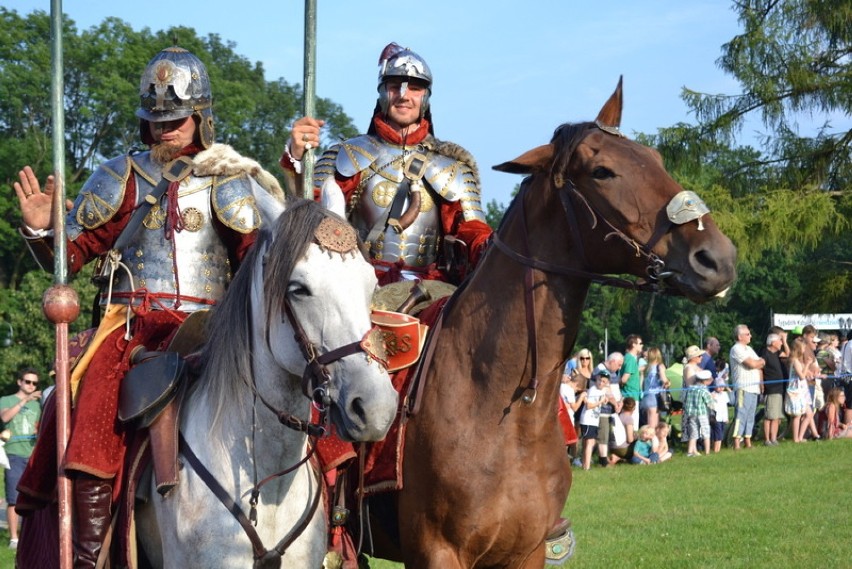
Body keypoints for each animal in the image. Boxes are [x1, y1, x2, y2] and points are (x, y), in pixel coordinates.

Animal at [370, 77, 736, 564]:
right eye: (602, 172)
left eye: (655, 160)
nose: (717, 259)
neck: (500, 410)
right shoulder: (437, 553)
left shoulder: (526, 552)